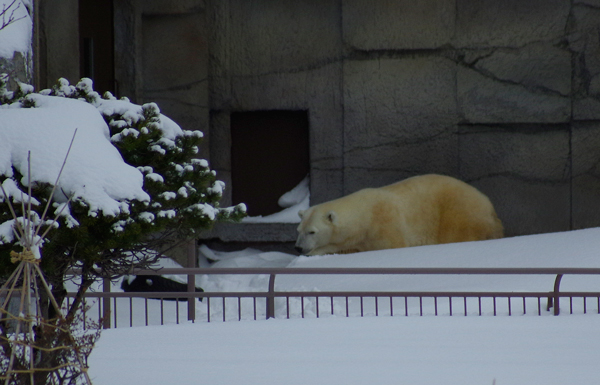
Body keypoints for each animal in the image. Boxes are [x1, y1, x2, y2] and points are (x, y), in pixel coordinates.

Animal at [296, 174, 502, 255]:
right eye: (299, 230)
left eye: (312, 231)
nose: (298, 248)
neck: (364, 218)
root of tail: (490, 206)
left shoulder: (384, 225)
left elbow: (392, 245)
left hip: (460, 215)